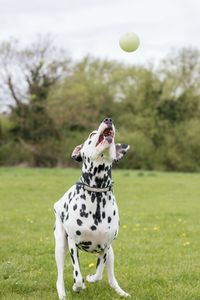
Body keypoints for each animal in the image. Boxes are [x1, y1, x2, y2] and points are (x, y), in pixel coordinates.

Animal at [53, 118, 130, 298]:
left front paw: (91, 278)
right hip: (60, 246)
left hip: (112, 254)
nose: (108, 119)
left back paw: (120, 292)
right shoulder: (72, 243)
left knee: (111, 278)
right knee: (59, 277)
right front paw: (77, 286)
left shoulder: (106, 247)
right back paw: (62, 293)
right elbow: (77, 276)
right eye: (92, 134)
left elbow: (98, 273)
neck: (97, 195)